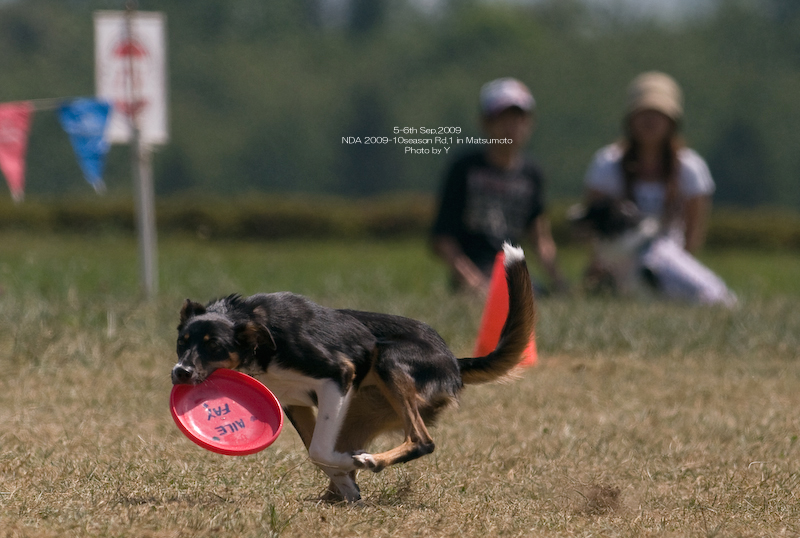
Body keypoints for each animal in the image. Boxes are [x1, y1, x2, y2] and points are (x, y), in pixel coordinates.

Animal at [171, 241, 536, 500]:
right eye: (181, 342)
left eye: (214, 346)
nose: (180, 373)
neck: (263, 336)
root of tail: (453, 361)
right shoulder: (293, 401)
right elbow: (318, 455)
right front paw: (349, 486)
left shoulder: (338, 375)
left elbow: (319, 451)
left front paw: (354, 464)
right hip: (360, 411)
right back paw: (338, 491)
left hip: (389, 362)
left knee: (422, 441)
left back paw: (371, 460)